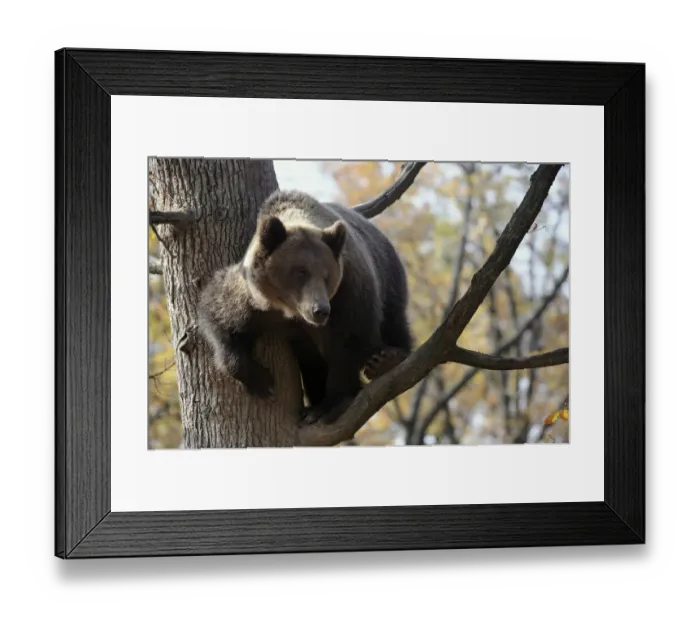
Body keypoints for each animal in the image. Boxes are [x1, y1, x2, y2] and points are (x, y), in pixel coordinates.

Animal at [196, 189, 413, 424]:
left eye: (327, 276)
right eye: (301, 272)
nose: (320, 310)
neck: (290, 310)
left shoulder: (349, 292)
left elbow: (349, 342)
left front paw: (330, 405)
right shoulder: (253, 299)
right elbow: (221, 316)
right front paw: (262, 382)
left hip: (388, 276)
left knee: (393, 320)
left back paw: (387, 359)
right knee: (312, 365)